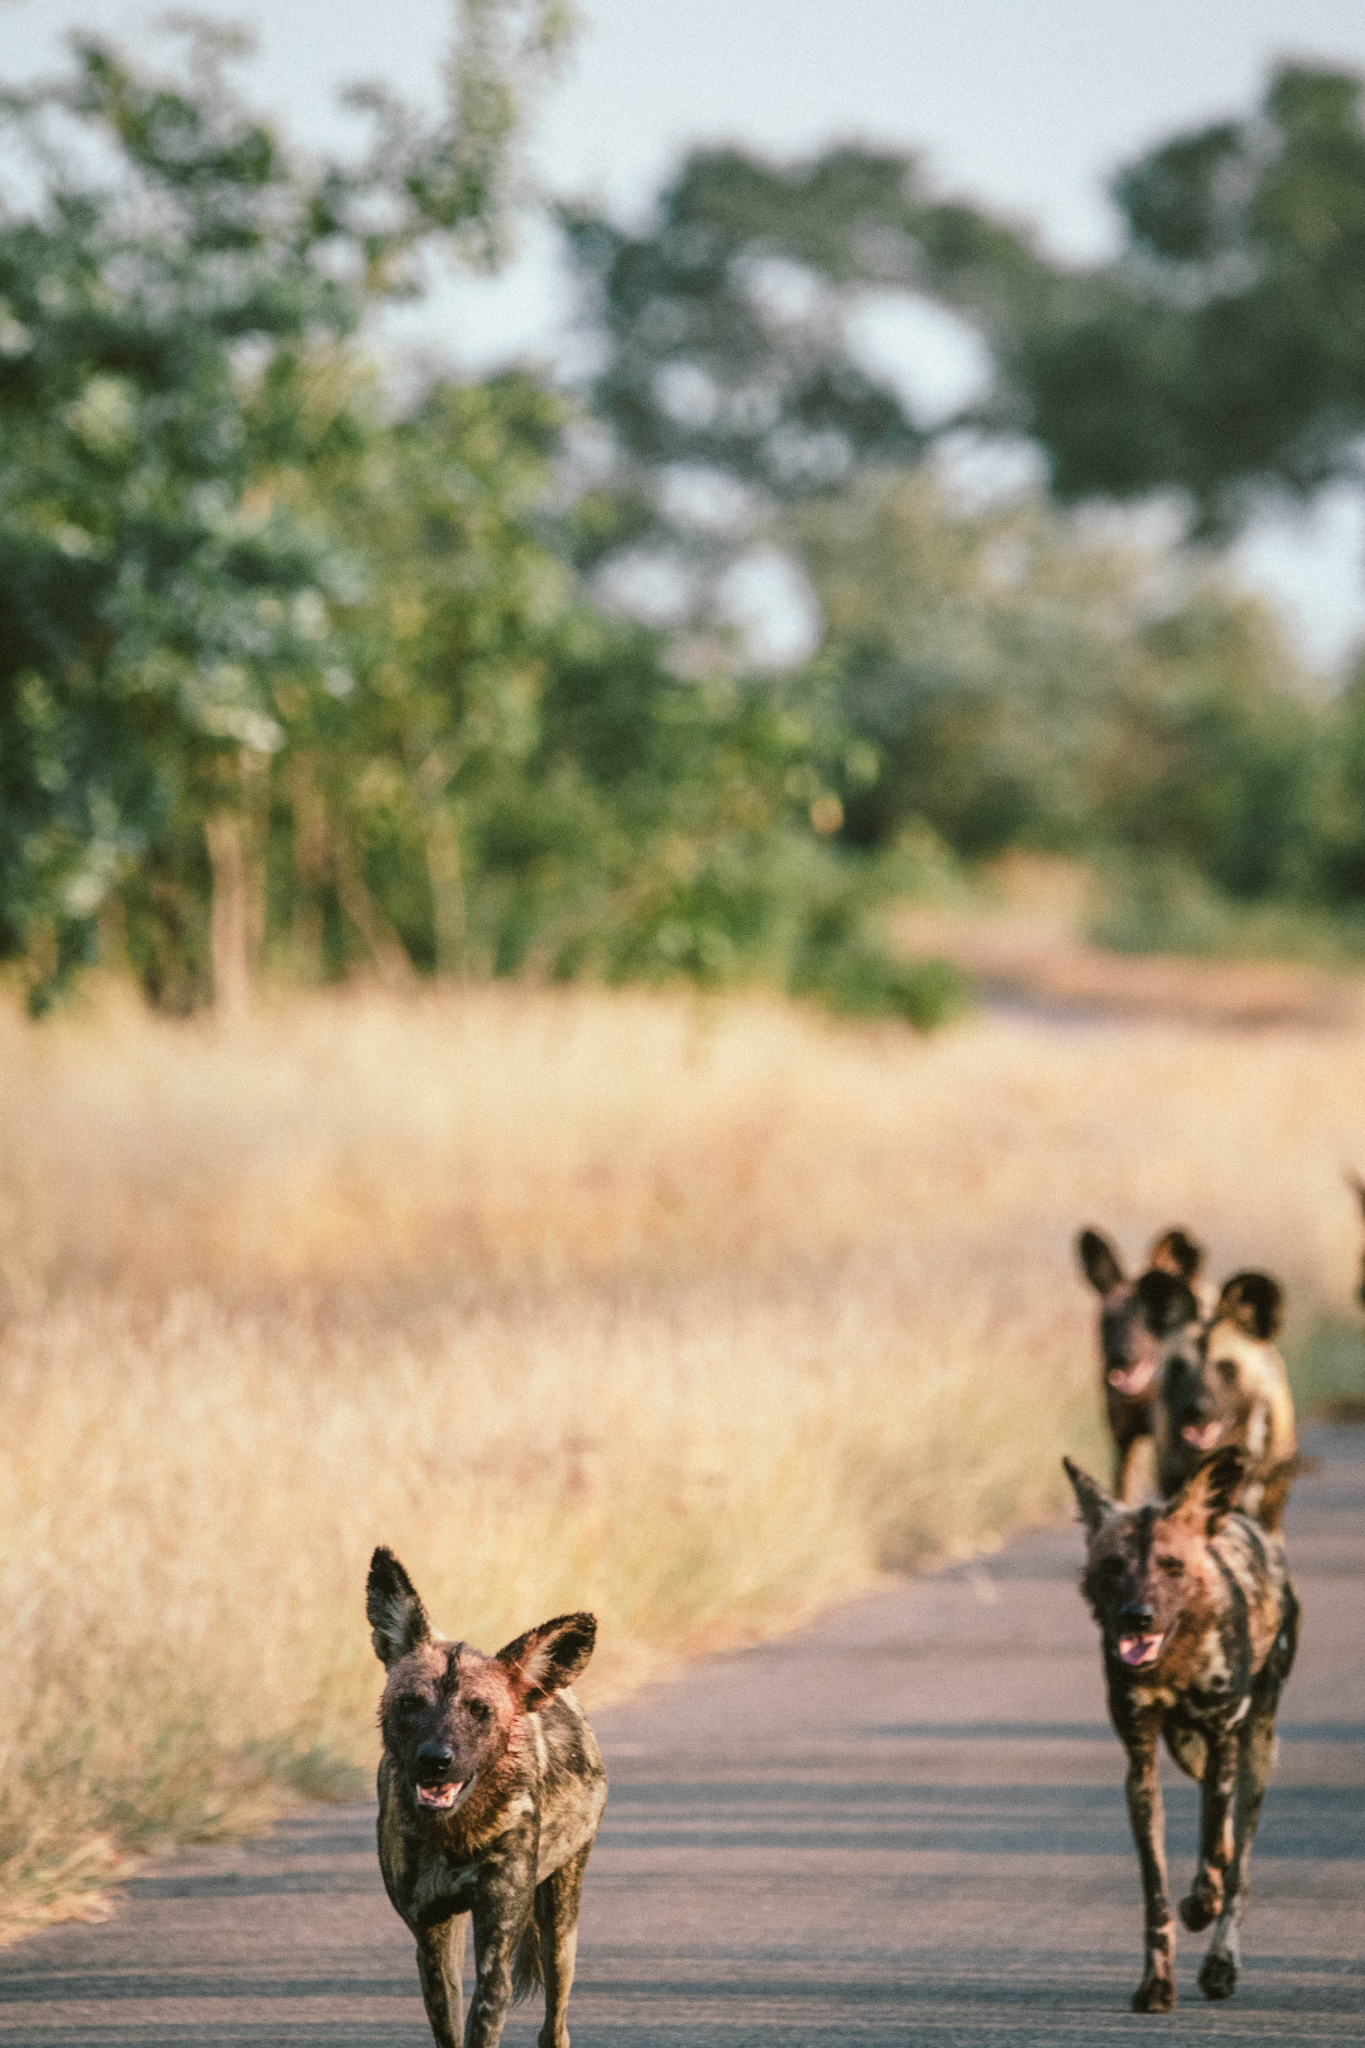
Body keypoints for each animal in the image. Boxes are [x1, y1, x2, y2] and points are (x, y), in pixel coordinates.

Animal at [370, 1548, 609, 2048]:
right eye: (409, 1703)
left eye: (479, 1710)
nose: (435, 1760)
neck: (456, 1832)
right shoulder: (432, 1939)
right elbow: (450, 2030)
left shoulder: (496, 1948)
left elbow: (485, 2022)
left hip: (561, 1927)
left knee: (554, 2024)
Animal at [1064, 1449, 1301, 2007]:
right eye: (1112, 1566)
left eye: (1172, 1568)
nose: (1138, 1617)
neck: (1173, 1661)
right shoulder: (1142, 1765)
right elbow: (1157, 1894)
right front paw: (1156, 1984)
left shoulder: (1223, 1737)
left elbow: (1212, 1846)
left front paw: (1202, 1904)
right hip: (1188, 1750)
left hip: (1254, 1750)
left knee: (1240, 1866)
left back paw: (1220, 1961)